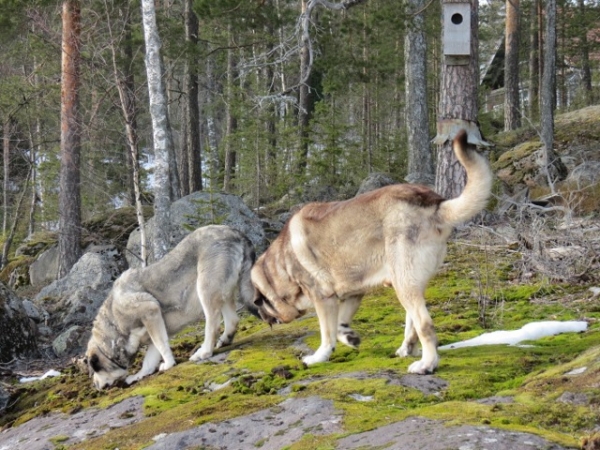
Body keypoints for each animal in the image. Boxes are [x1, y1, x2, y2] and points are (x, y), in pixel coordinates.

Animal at [85, 227, 254, 388]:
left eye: (95, 368)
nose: (95, 386)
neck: (113, 323)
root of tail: (234, 232)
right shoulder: (153, 327)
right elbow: (150, 358)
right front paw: (140, 375)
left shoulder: (150, 312)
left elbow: (161, 345)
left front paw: (169, 363)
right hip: (223, 294)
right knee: (233, 320)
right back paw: (225, 341)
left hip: (205, 290)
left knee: (213, 325)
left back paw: (204, 352)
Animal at [248, 131, 492, 376]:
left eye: (262, 304)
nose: (263, 318)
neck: (279, 266)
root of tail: (434, 204)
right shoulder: (353, 293)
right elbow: (340, 325)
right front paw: (349, 337)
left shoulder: (323, 298)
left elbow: (327, 334)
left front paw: (319, 357)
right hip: (409, 283)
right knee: (412, 324)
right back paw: (406, 349)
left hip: (404, 282)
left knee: (424, 325)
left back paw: (427, 364)